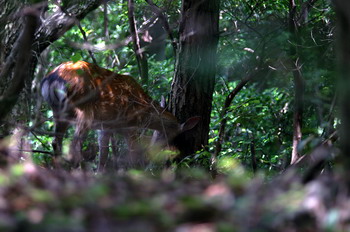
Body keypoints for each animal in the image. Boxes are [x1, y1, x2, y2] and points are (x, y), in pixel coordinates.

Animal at [40, 60, 200, 171]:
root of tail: (52, 79)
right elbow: (133, 153)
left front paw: (100, 174)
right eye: (173, 135)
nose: (157, 150)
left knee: (56, 142)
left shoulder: (105, 126)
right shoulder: (129, 125)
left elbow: (103, 154)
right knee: (74, 145)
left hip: (59, 111)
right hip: (84, 111)